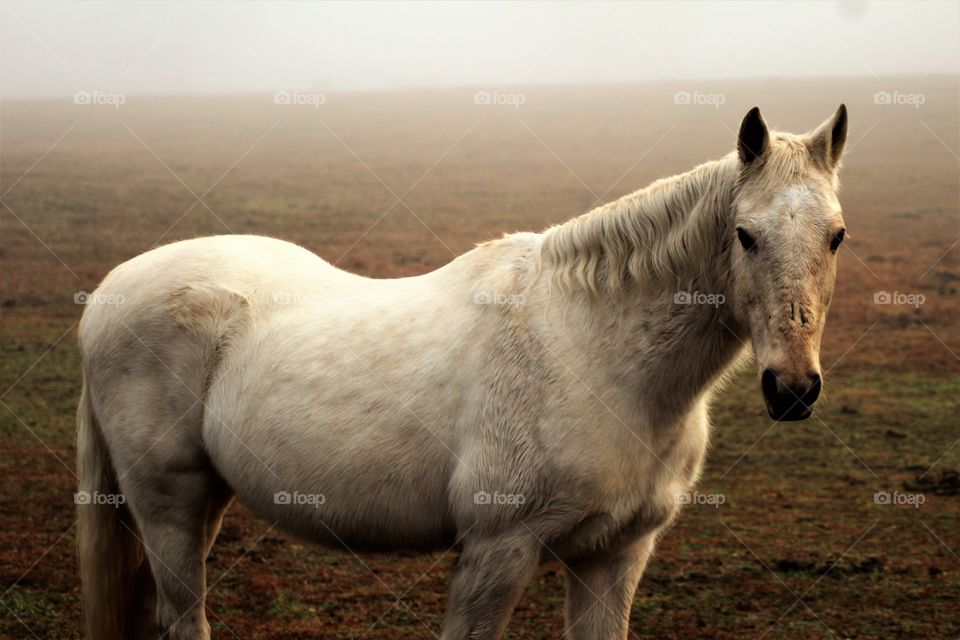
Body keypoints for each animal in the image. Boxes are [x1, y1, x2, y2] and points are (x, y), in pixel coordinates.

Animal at [76, 104, 848, 639]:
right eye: (745, 235)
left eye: (837, 235)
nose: (792, 389)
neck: (593, 352)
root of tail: (110, 289)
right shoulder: (495, 554)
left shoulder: (615, 556)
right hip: (167, 503)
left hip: (203, 499)